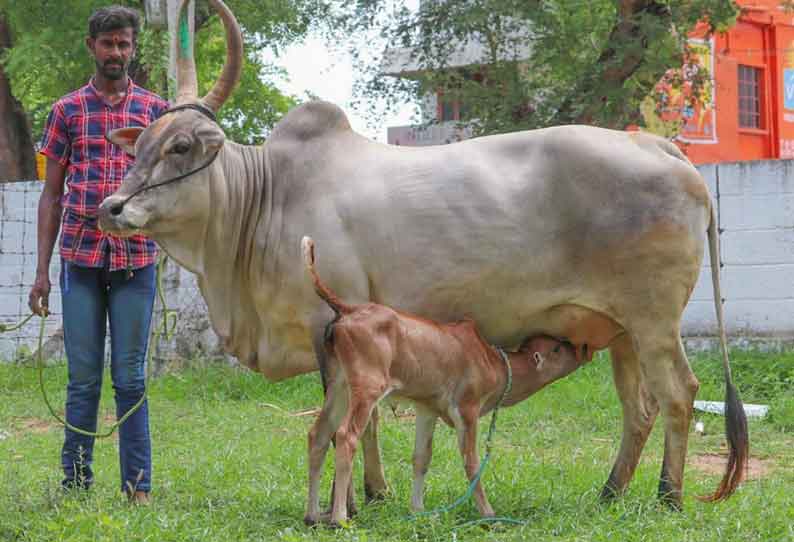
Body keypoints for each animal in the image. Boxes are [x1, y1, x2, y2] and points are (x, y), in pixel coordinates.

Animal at [304, 238, 588, 528]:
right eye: (557, 349)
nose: (580, 348)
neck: (492, 362)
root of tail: (349, 309)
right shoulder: (467, 409)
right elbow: (472, 463)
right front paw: (489, 514)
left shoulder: (427, 408)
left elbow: (421, 458)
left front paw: (417, 510)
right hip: (367, 385)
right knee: (345, 436)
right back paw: (339, 517)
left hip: (339, 383)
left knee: (319, 435)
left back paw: (312, 514)